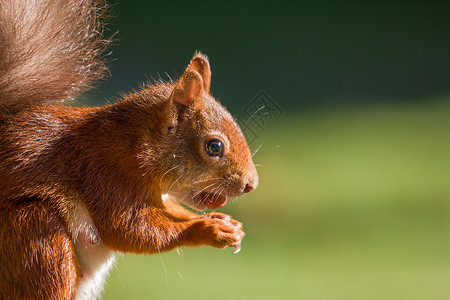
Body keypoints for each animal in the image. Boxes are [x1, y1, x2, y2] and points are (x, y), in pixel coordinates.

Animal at [0, 1, 256, 298]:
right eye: (214, 146)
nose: (251, 185)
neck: (134, 144)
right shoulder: (107, 174)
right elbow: (130, 230)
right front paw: (207, 228)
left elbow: (168, 210)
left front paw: (225, 222)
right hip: (35, 237)